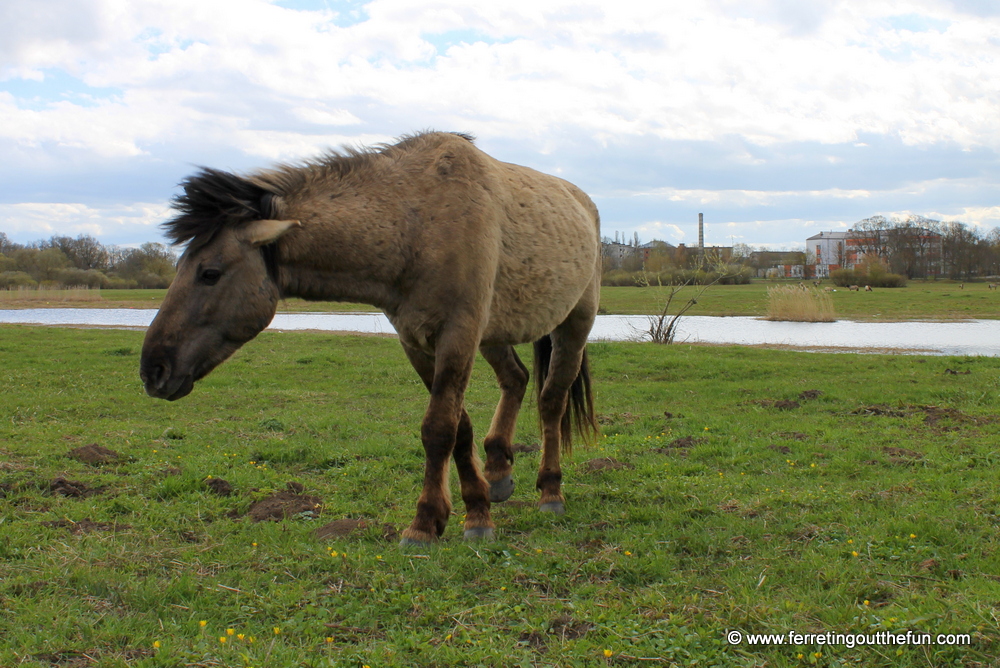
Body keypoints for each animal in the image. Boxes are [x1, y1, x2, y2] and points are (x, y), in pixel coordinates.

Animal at [141, 129, 600, 544]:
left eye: (210, 273)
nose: (153, 370)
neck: (417, 222)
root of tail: (585, 202)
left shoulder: (457, 334)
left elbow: (439, 428)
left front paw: (427, 523)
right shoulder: (418, 342)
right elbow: (459, 428)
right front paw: (475, 507)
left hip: (573, 326)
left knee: (551, 401)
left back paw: (550, 490)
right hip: (493, 335)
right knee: (517, 379)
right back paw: (499, 471)